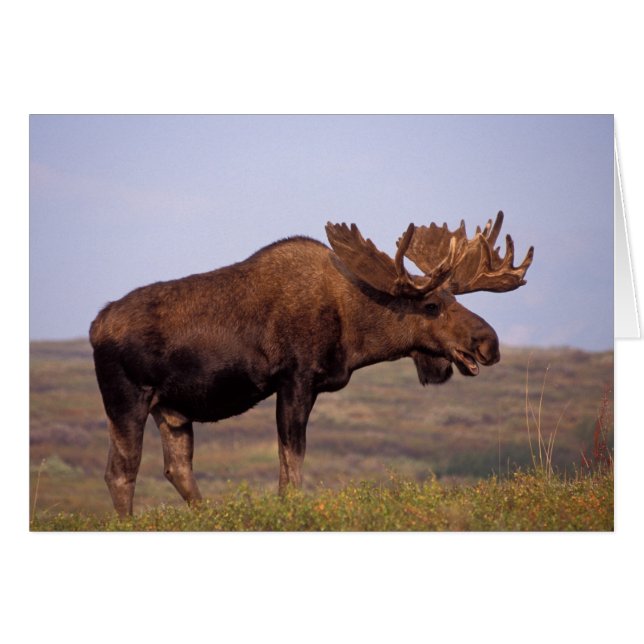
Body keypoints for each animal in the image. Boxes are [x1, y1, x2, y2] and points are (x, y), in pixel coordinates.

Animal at [90, 211, 533, 515]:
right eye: (432, 305)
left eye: (455, 298)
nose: (488, 343)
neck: (354, 331)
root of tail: (95, 326)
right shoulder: (296, 380)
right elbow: (292, 463)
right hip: (126, 399)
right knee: (120, 472)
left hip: (172, 410)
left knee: (177, 469)